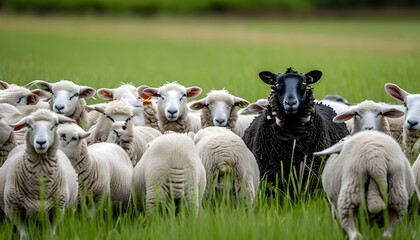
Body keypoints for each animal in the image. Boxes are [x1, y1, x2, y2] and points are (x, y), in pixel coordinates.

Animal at [0, 109, 78, 240]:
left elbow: (50, 234)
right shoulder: (15, 210)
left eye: (55, 125)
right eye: (28, 125)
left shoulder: (57, 209)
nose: (41, 142)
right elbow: (24, 235)